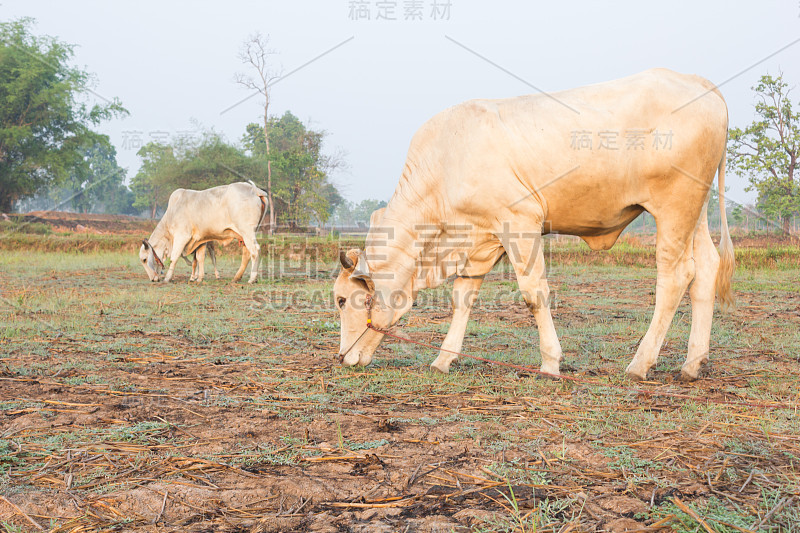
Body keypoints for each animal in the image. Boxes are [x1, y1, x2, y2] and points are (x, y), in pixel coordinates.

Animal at [334, 67, 736, 382]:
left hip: (674, 207)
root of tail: (701, 83)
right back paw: (692, 364)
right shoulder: (481, 240)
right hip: (695, 210)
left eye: (341, 300)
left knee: (676, 275)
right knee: (706, 268)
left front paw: (550, 363)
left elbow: (533, 294)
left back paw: (640, 363)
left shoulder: (521, 222)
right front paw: (443, 359)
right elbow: (463, 297)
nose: (341, 358)